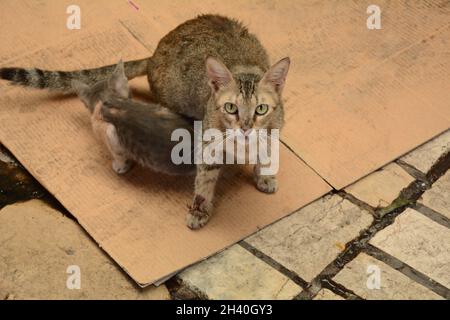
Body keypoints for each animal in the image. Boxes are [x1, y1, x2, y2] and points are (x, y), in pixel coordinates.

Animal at [0, 15, 290, 229]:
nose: (246, 127)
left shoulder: (271, 132)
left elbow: (266, 153)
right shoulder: (209, 147)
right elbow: (204, 182)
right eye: (231, 108)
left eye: (261, 109)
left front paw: (264, 175)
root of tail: (153, 54)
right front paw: (199, 209)